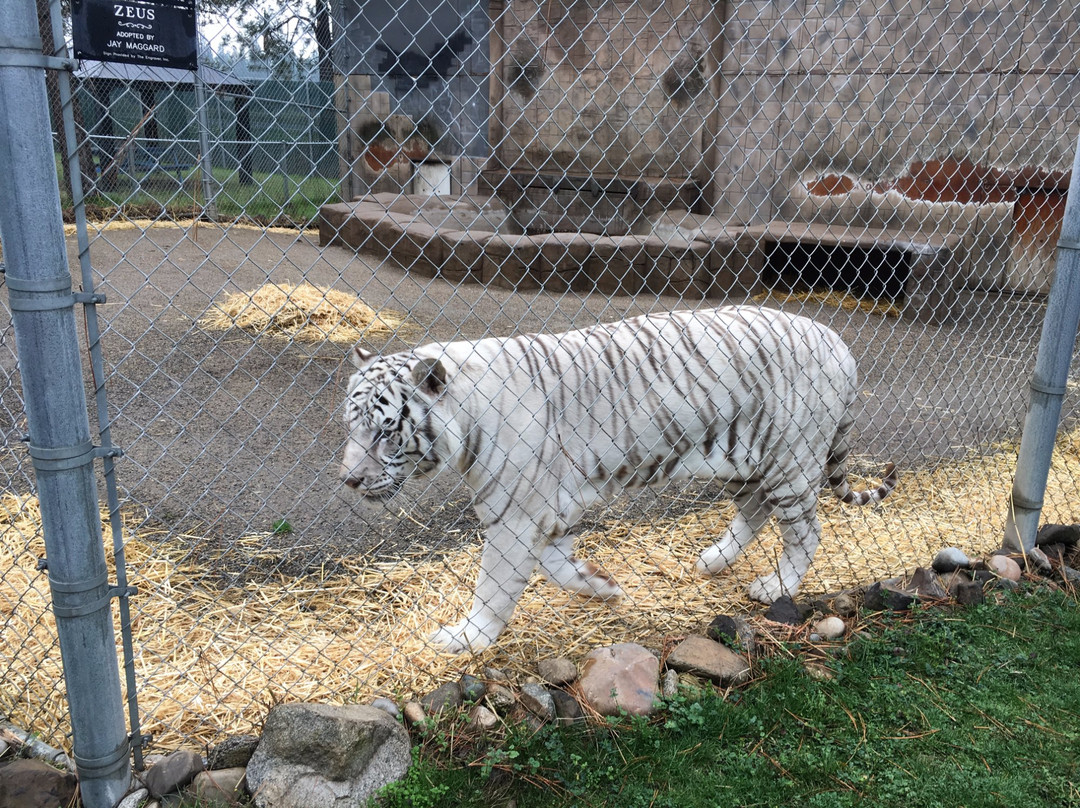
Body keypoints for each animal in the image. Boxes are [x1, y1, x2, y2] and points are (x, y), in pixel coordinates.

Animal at [339, 306, 894, 652]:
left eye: (385, 432)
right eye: (352, 425)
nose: (348, 481)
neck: (467, 416)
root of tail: (840, 343)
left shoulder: (515, 513)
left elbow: (495, 584)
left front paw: (466, 638)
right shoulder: (547, 509)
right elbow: (556, 567)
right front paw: (602, 586)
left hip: (791, 461)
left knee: (806, 531)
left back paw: (773, 585)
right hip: (739, 458)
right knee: (754, 510)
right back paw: (713, 560)